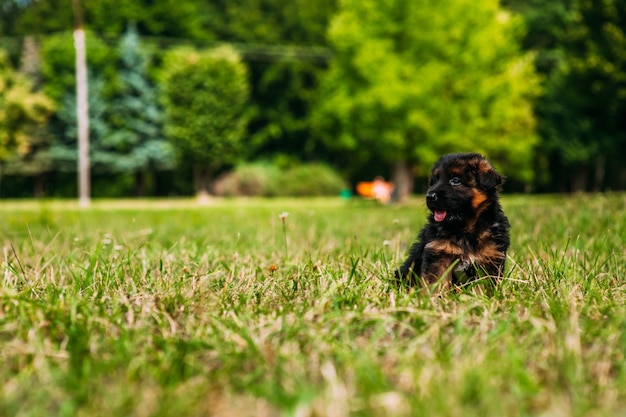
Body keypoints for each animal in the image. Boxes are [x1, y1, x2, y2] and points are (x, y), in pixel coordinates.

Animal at [394, 154, 508, 290]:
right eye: (434, 181)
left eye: (455, 180)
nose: (429, 197)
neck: (465, 229)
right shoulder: (438, 254)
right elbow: (437, 283)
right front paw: (434, 296)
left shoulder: (490, 258)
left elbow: (485, 285)